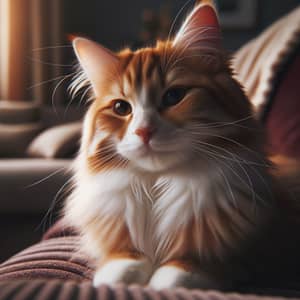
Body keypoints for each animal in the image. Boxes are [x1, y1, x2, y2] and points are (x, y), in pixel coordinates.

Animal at [63, 0, 300, 290]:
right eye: (121, 108)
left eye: (173, 96)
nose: (144, 131)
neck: (158, 186)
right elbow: (121, 262)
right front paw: (121, 276)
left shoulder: (252, 253)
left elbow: (179, 273)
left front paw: (162, 280)